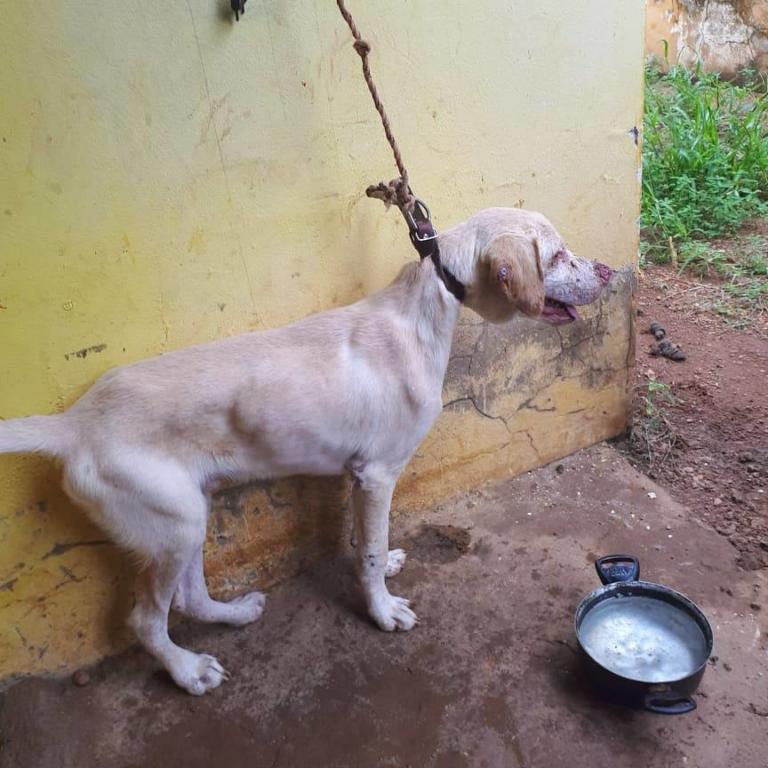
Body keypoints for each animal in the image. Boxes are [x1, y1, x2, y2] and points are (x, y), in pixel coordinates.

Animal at [0, 207, 612, 692]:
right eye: (557, 256)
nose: (607, 270)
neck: (422, 312)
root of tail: (75, 423)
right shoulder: (378, 474)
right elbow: (369, 552)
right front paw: (382, 610)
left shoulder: (357, 476)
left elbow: (365, 542)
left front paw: (383, 569)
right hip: (171, 525)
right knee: (146, 621)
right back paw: (187, 670)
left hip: (189, 512)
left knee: (189, 599)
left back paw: (235, 613)